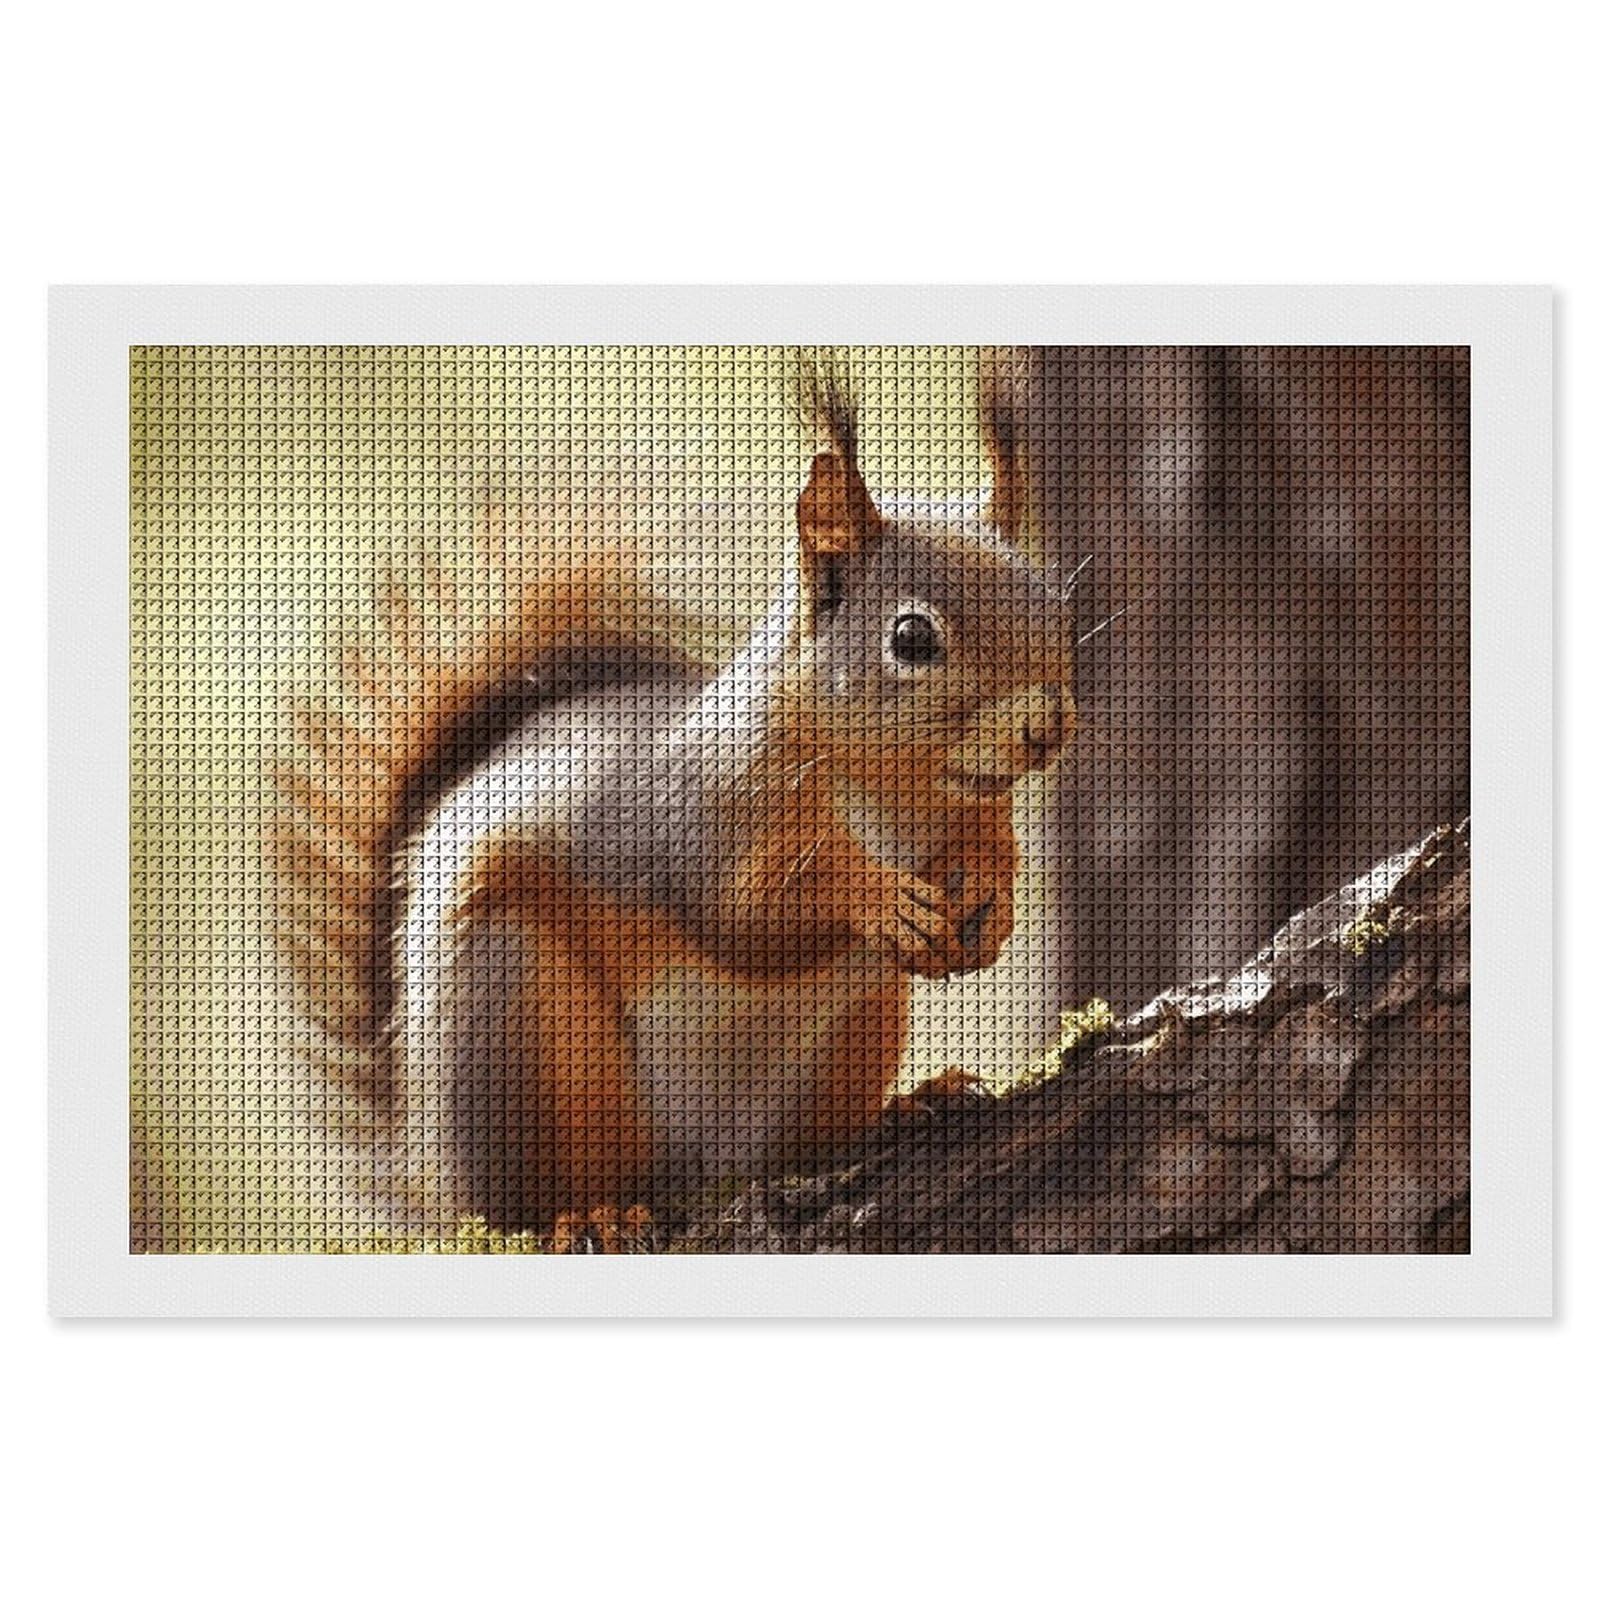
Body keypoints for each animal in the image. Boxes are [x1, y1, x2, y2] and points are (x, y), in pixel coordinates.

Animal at [269, 376, 1078, 1235]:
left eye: (1052, 603)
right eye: (913, 639)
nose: (1046, 726)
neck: (899, 794)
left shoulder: (975, 814)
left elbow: (990, 855)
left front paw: (993, 904)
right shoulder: (704, 817)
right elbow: (748, 916)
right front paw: (876, 896)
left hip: (857, 1027)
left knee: (807, 1146)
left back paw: (908, 1105)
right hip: (521, 1024)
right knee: (544, 1196)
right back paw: (591, 1218)